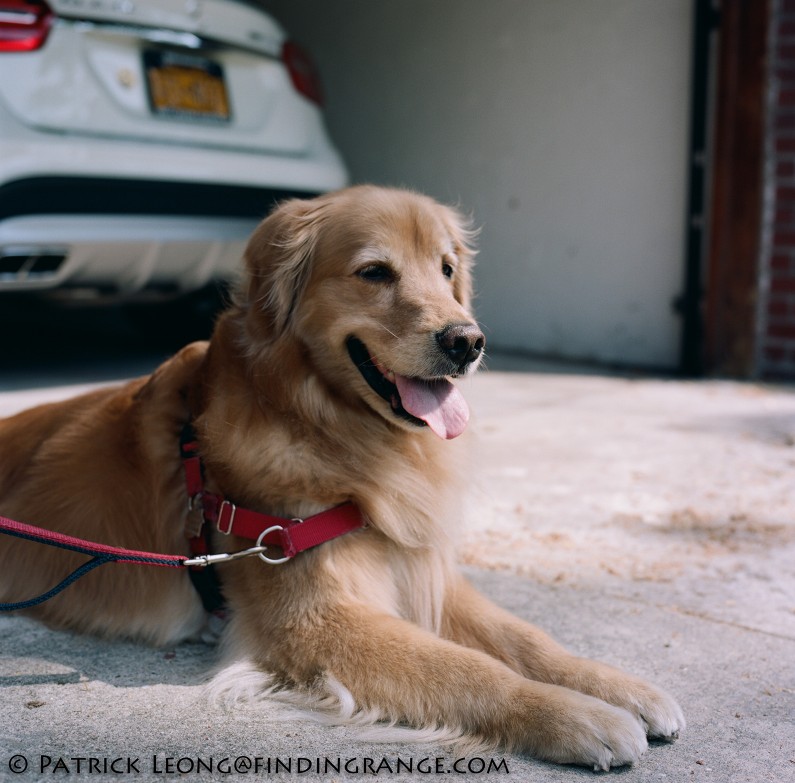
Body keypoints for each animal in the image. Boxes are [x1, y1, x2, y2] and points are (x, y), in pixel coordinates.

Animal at [0, 185, 684, 772]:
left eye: (445, 269)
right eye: (375, 272)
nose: (468, 341)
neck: (333, 432)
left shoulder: (417, 564)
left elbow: (527, 640)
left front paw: (617, 687)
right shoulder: (319, 622)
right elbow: (470, 669)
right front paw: (576, 715)